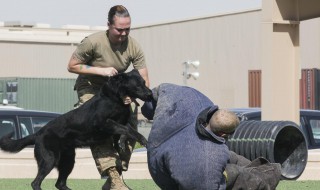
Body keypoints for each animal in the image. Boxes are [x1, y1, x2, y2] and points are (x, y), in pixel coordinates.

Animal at [0, 69, 154, 190]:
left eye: (144, 82)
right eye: (137, 85)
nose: (150, 94)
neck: (116, 98)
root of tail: (38, 133)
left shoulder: (121, 123)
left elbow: (129, 131)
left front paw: (126, 143)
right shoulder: (103, 123)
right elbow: (125, 129)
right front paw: (134, 141)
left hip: (68, 160)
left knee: (60, 183)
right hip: (49, 159)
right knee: (36, 183)